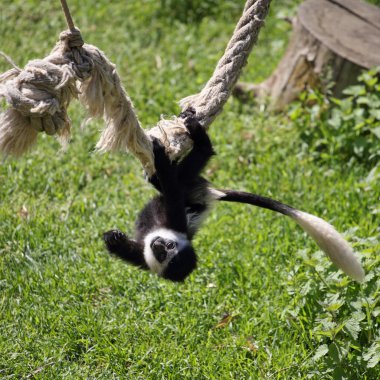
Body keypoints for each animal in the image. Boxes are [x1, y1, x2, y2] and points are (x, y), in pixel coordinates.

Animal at [102, 109, 364, 282]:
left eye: (167, 253)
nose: (158, 245)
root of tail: (211, 194)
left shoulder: (160, 240)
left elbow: (172, 190)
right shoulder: (157, 239)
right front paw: (113, 237)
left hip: (192, 186)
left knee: (189, 167)